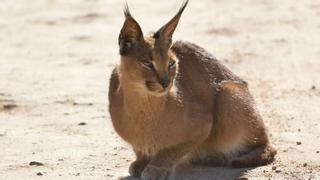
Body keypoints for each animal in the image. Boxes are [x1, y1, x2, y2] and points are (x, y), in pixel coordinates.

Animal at [107, 0, 276, 179]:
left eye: (171, 64)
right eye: (147, 63)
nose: (166, 82)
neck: (142, 106)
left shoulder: (203, 124)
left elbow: (172, 149)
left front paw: (156, 167)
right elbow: (139, 148)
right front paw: (142, 161)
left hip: (228, 91)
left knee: (266, 145)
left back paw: (218, 157)